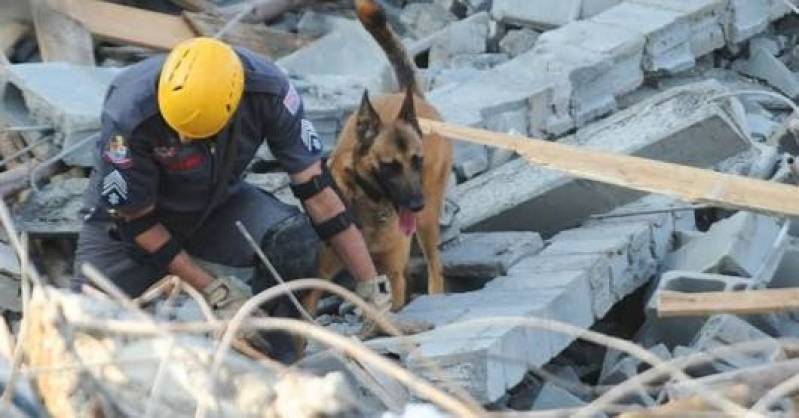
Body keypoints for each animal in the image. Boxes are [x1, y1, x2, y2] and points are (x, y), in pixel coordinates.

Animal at [304, 0, 454, 314]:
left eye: (417, 160)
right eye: (389, 166)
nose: (416, 203)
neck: (372, 205)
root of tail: (411, 97)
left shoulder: (393, 277)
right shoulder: (318, 280)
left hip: (427, 221)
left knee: (435, 266)